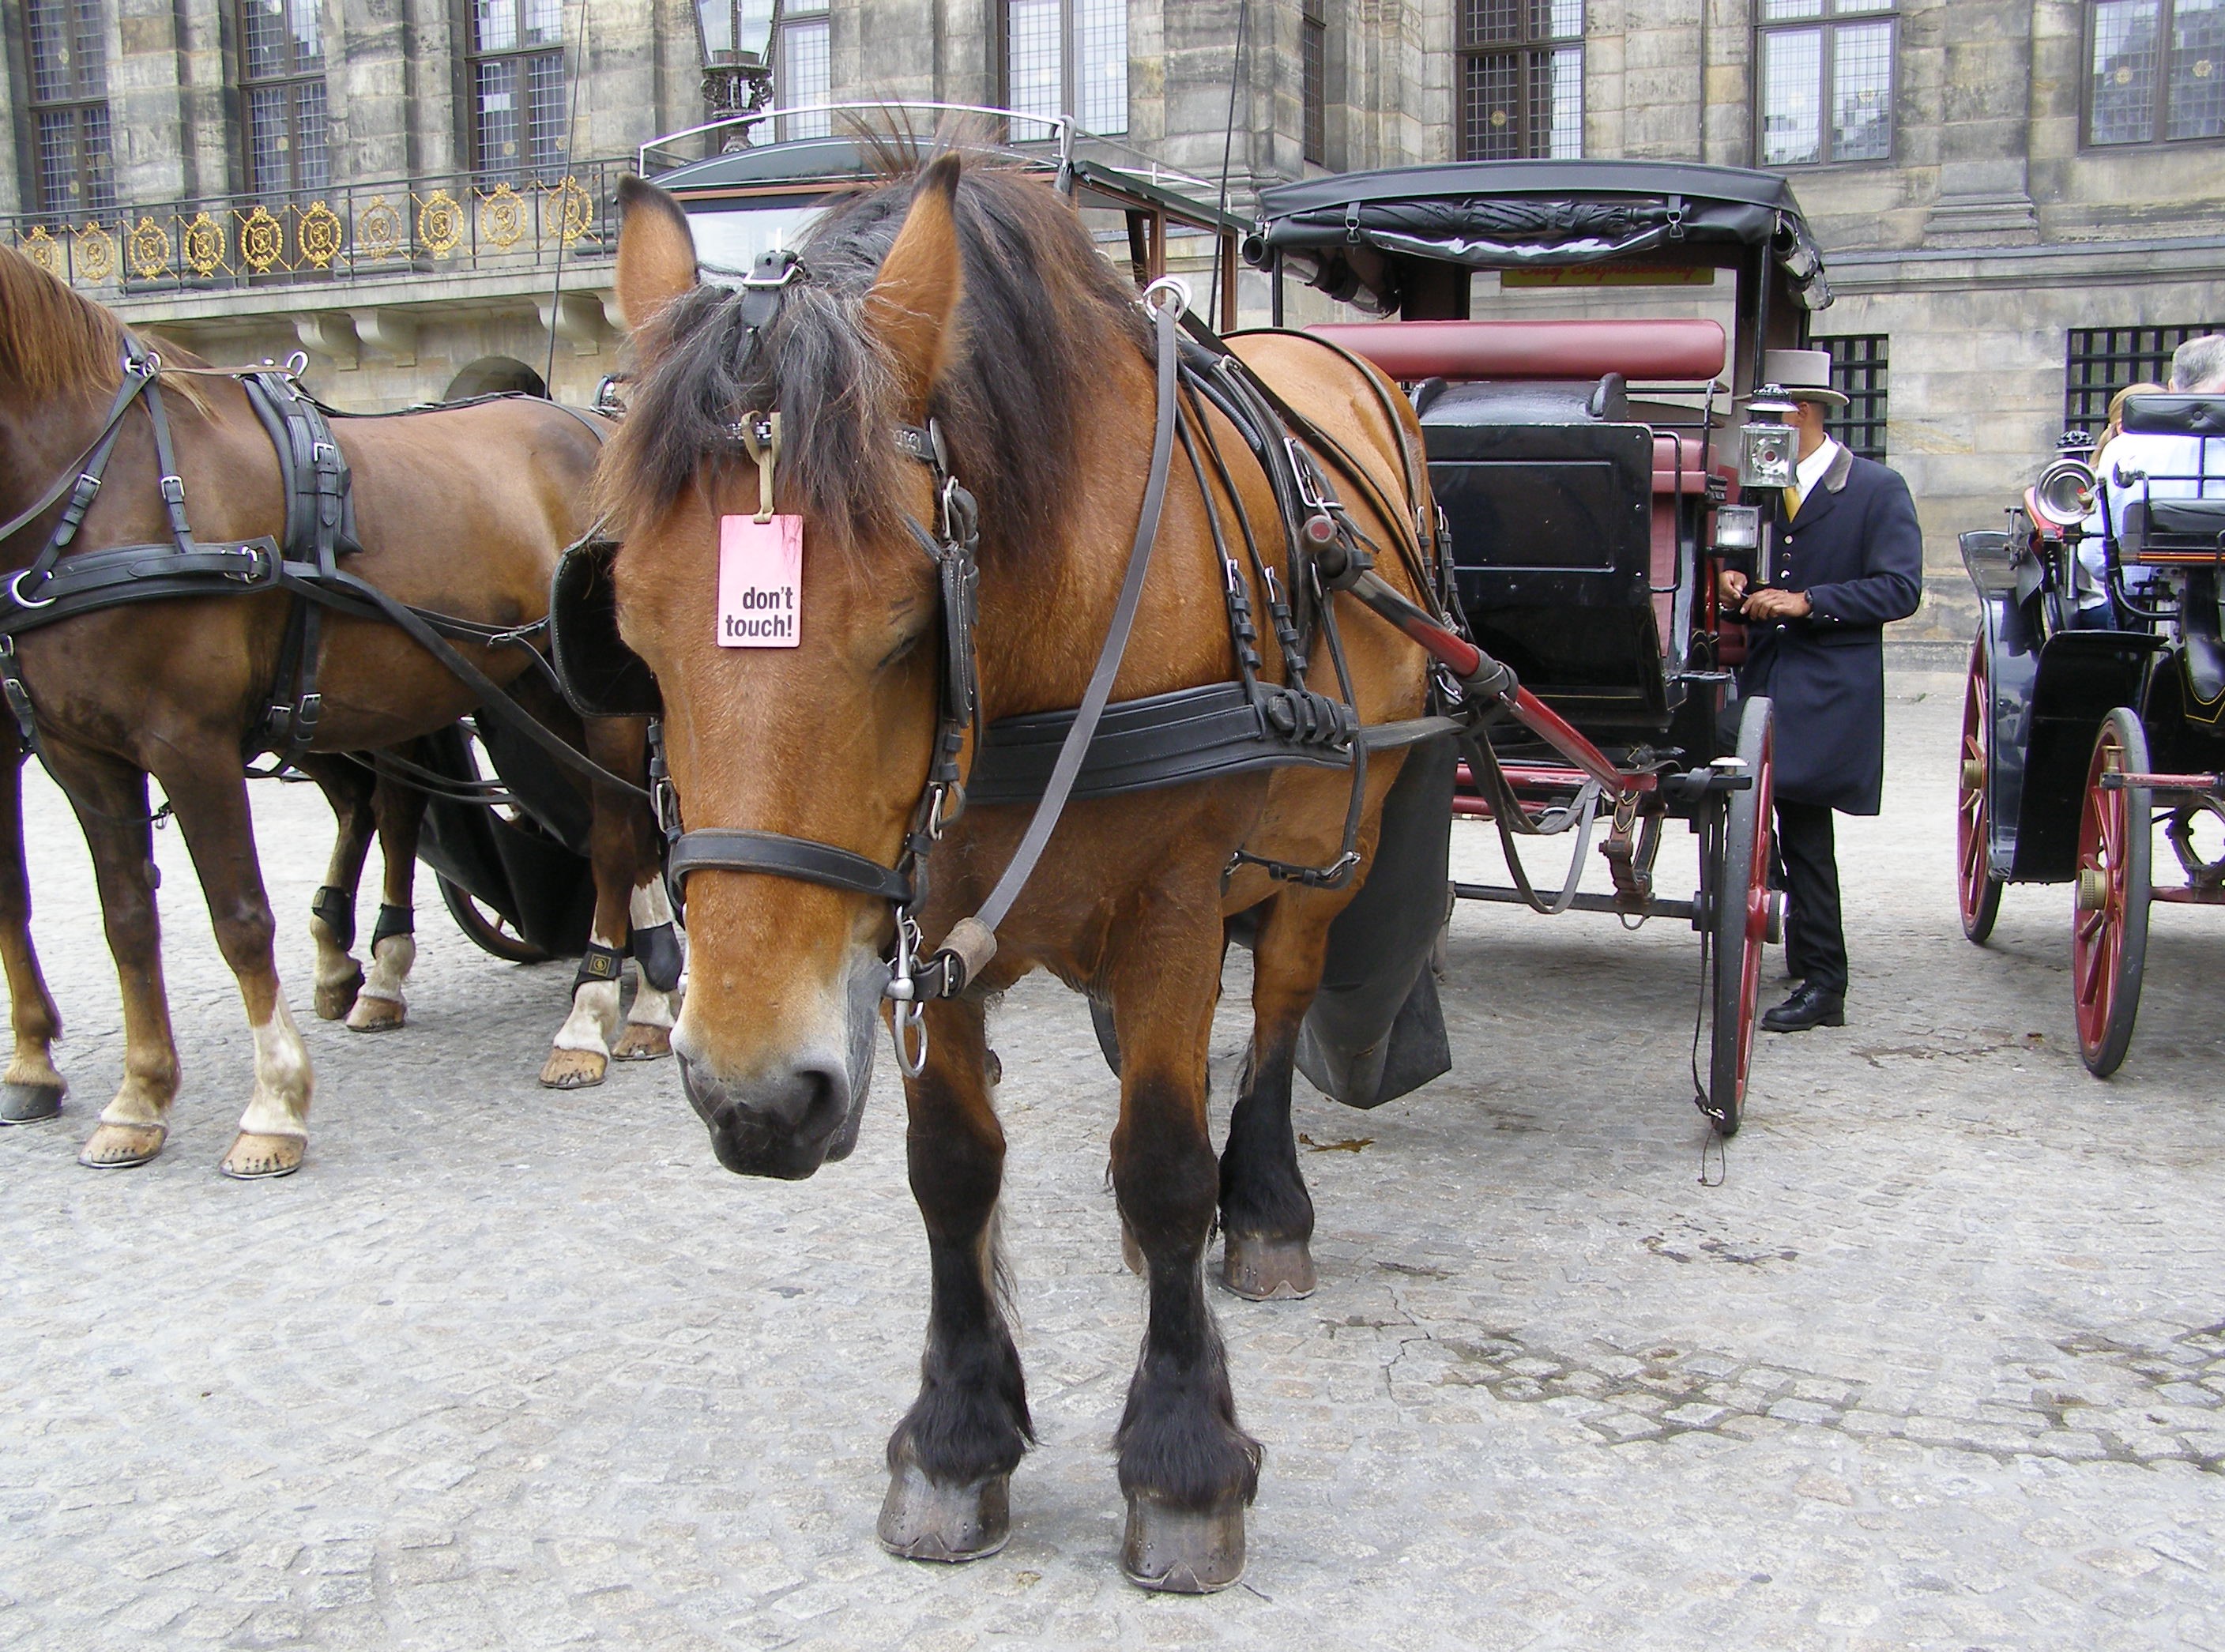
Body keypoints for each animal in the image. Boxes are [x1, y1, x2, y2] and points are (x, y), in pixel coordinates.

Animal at [0, 245, 673, 1177]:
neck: (109, 481)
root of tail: (593, 423)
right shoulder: (80, 754)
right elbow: (127, 923)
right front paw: (136, 1099)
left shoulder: (189, 742)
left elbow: (240, 919)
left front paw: (272, 1104)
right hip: (528, 683)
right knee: (596, 828)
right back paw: (643, 997)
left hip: (596, 705)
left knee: (613, 834)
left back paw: (592, 1014)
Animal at [597, 153, 1439, 1590]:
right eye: (628, 629)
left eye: (904, 622)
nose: (755, 1097)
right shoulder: (925, 914)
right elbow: (952, 1167)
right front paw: (955, 1434)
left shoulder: (1172, 899)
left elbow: (1165, 1156)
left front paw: (1182, 1462)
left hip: (1340, 834)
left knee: (1277, 1005)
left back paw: (1267, 1206)